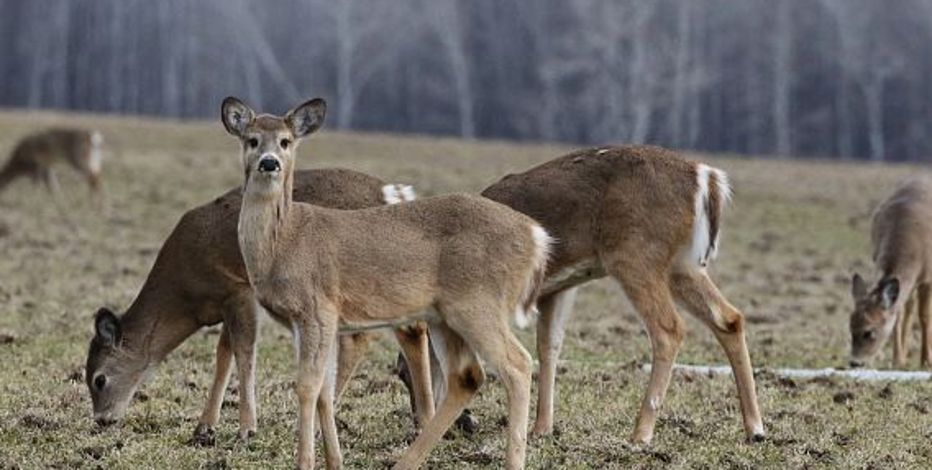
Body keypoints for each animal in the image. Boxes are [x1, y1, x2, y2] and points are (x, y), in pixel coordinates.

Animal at [85, 168, 435, 445]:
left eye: (99, 379)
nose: (102, 420)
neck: (186, 293)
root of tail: (393, 194)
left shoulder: (238, 290)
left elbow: (244, 352)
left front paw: (246, 429)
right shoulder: (227, 302)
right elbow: (223, 354)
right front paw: (205, 427)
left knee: (365, 337)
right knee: (411, 328)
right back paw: (421, 420)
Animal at [221, 96, 550, 470]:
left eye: (286, 141)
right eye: (252, 140)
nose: (269, 162)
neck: (285, 241)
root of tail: (537, 236)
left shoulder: (318, 308)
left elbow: (307, 387)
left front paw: (305, 462)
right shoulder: (309, 322)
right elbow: (324, 391)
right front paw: (335, 462)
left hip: (478, 303)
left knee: (518, 365)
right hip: (445, 315)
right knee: (467, 376)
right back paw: (407, 462)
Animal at [388, 145, 765, 444]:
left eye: (403, 374)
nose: (420, 426)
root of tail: (708, 179)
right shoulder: (559, 287)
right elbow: (549, 347)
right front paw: (542, 427)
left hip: (635, 255)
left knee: (669, 329)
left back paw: (640, 433)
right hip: (683, 265)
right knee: (729, 318)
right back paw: (755, 429)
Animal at [849, 178, 932, 369]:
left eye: (868, 332)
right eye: (850, 327)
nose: (855, 363)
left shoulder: (927, 277)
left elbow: (925, 316)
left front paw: (926, 361)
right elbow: (897, 315)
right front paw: (897, 360)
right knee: (908, 306)